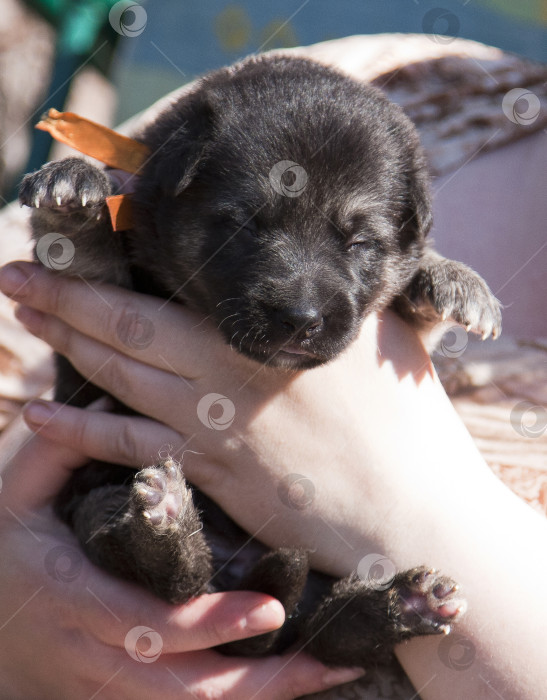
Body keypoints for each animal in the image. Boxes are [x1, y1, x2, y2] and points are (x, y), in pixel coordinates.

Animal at [20, 54, 500, 668]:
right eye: (249, 224)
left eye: (358, 243)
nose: (302, 318)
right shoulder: (96, 345)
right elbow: (90, 259)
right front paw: (75, 194)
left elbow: (412, 300)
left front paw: (450, 280)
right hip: (97, 499)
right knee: (170, 580)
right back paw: (168, 527)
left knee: (330, 636)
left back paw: (402, 604)